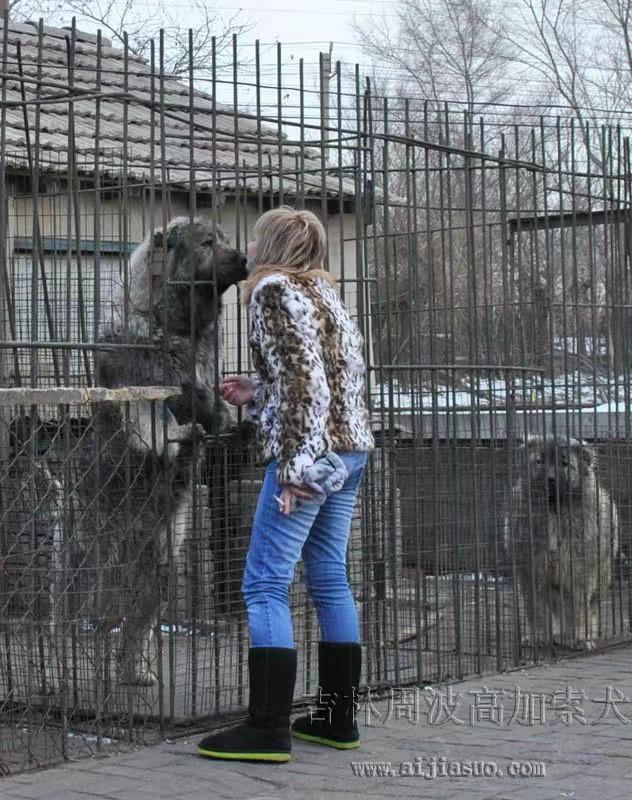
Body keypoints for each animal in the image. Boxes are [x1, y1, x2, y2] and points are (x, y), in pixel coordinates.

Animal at [78, 216, 247, 684]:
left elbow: (210, 401)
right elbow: (157, 410)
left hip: (163, 560)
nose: (245, 257)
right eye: (207, 243)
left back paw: (135, 670)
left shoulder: (205, 374)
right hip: (101, 551)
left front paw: (222, 421)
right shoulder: (141, 382)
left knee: (138, 621)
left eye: (226, 240)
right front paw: (178, 432)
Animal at [506, 438, 620, 648]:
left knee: (588, 608)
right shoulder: (529, 571)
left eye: (565, 463)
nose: (550, 478)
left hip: (601, 577)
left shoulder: (580, 571)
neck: (554, 509)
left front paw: (580, 638)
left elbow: (579, 610)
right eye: (540, 461)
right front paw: (535, 637)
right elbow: (535, 609)